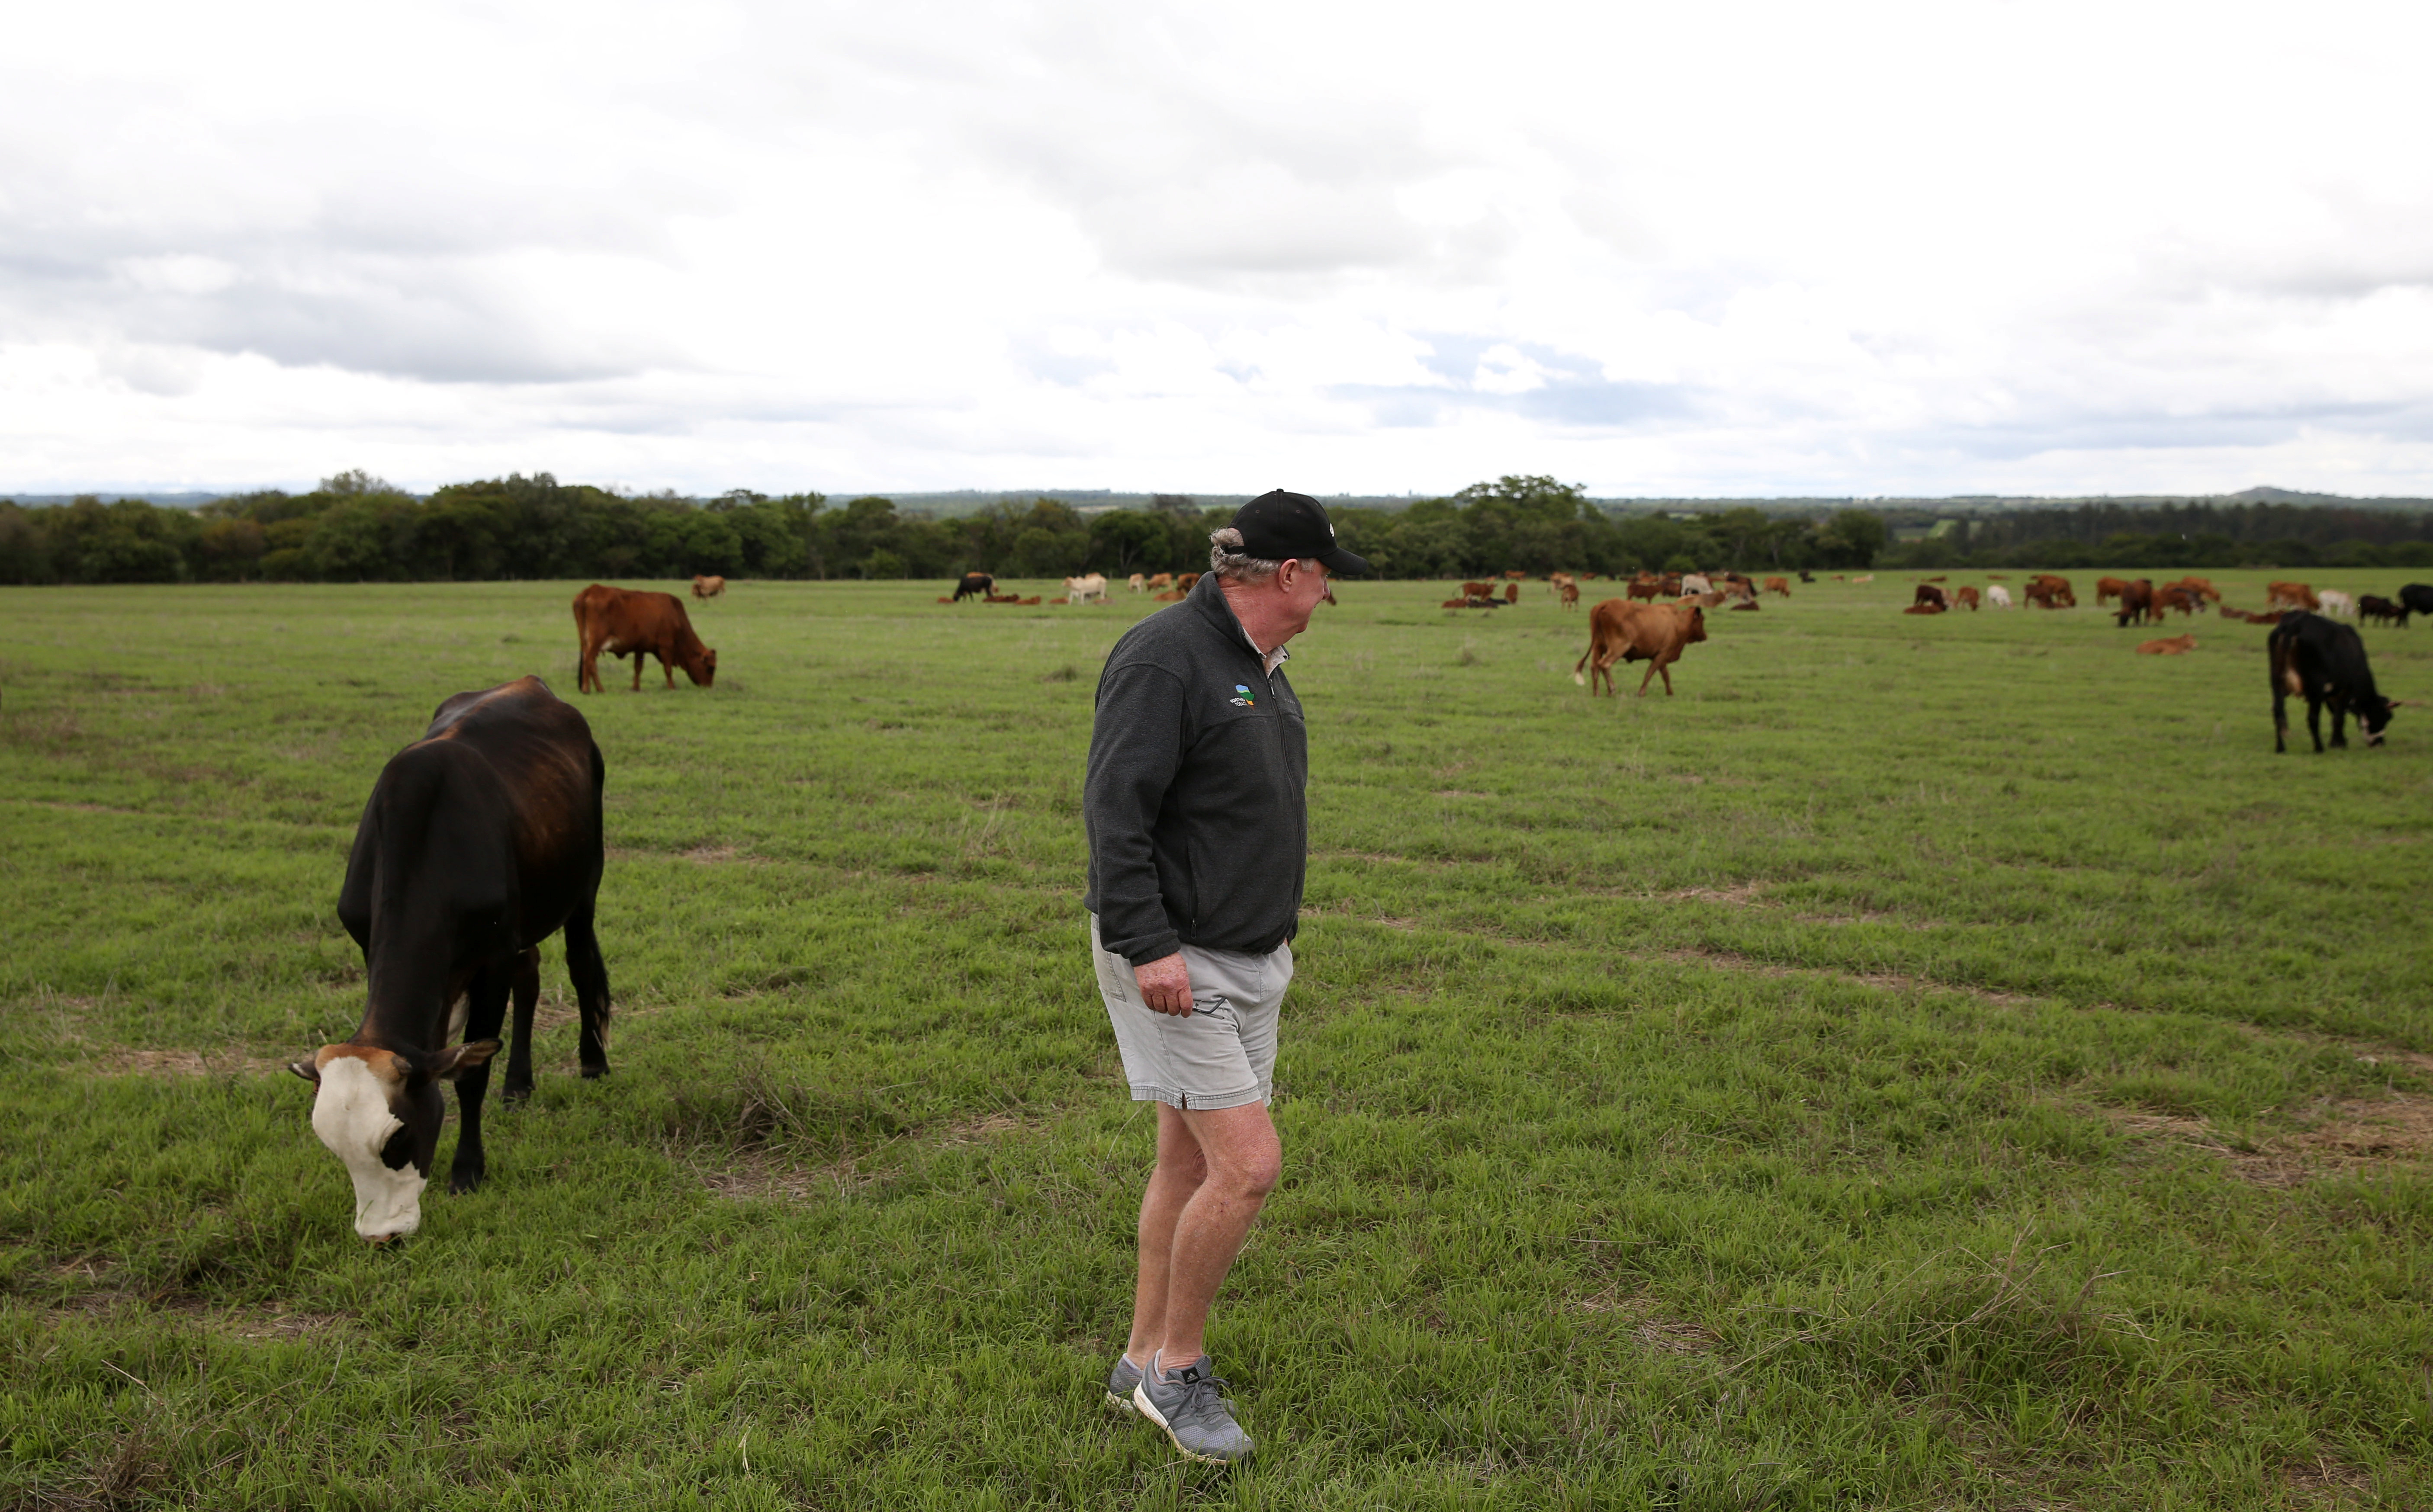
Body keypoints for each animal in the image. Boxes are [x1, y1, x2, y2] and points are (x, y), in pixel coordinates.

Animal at [288, 677, 612, 1241]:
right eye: (334, 1150)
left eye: (397, 1140)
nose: (382, 1238)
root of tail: (533, 685)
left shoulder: (492, 960)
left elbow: (470, 1074)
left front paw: (467, 1170)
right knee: (531, 977)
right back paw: (519, 1084)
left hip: (583, 886)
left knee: (578, 964)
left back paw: (592, 1060)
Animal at [572, 585, 716, 693]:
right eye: (711, 668)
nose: (708, 687)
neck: (676, 617)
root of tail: (591, 590)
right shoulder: (666, 647)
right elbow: (668, 669)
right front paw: (672, 687)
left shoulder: (640, 648)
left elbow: (638, 668)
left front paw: (636, 688)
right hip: (596, 641)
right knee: (590, 661)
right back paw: (594, 689)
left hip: (586, 642)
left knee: (587, 662)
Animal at [1571, 599, 1707, 696]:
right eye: (1702, 620)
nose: (1705, 636)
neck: (1678, 621)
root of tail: (1606, 604)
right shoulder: (1662, 653)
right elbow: (1650, 673)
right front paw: (1642, 693)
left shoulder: (1661, 656)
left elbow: (1665, 675)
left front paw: (1670, 693)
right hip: (1618, 648)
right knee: (1604, 665)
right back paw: (1612, 690)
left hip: (1598, 647)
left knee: (1595, 667)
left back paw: (1597, 693)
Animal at [2270, 612, 2397, 753]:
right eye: (2386, 717)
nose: (2380, 743)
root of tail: (2298, 622)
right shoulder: (2346, 689)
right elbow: (2339, 718)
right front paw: (2338, 743)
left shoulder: (2331, 693)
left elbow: (2334, 714)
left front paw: (2338, 741)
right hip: (2315, 687)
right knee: (2313, 718)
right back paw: (2319, 748)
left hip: (2277, 683)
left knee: (2278, 713)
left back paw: (2280, 748)